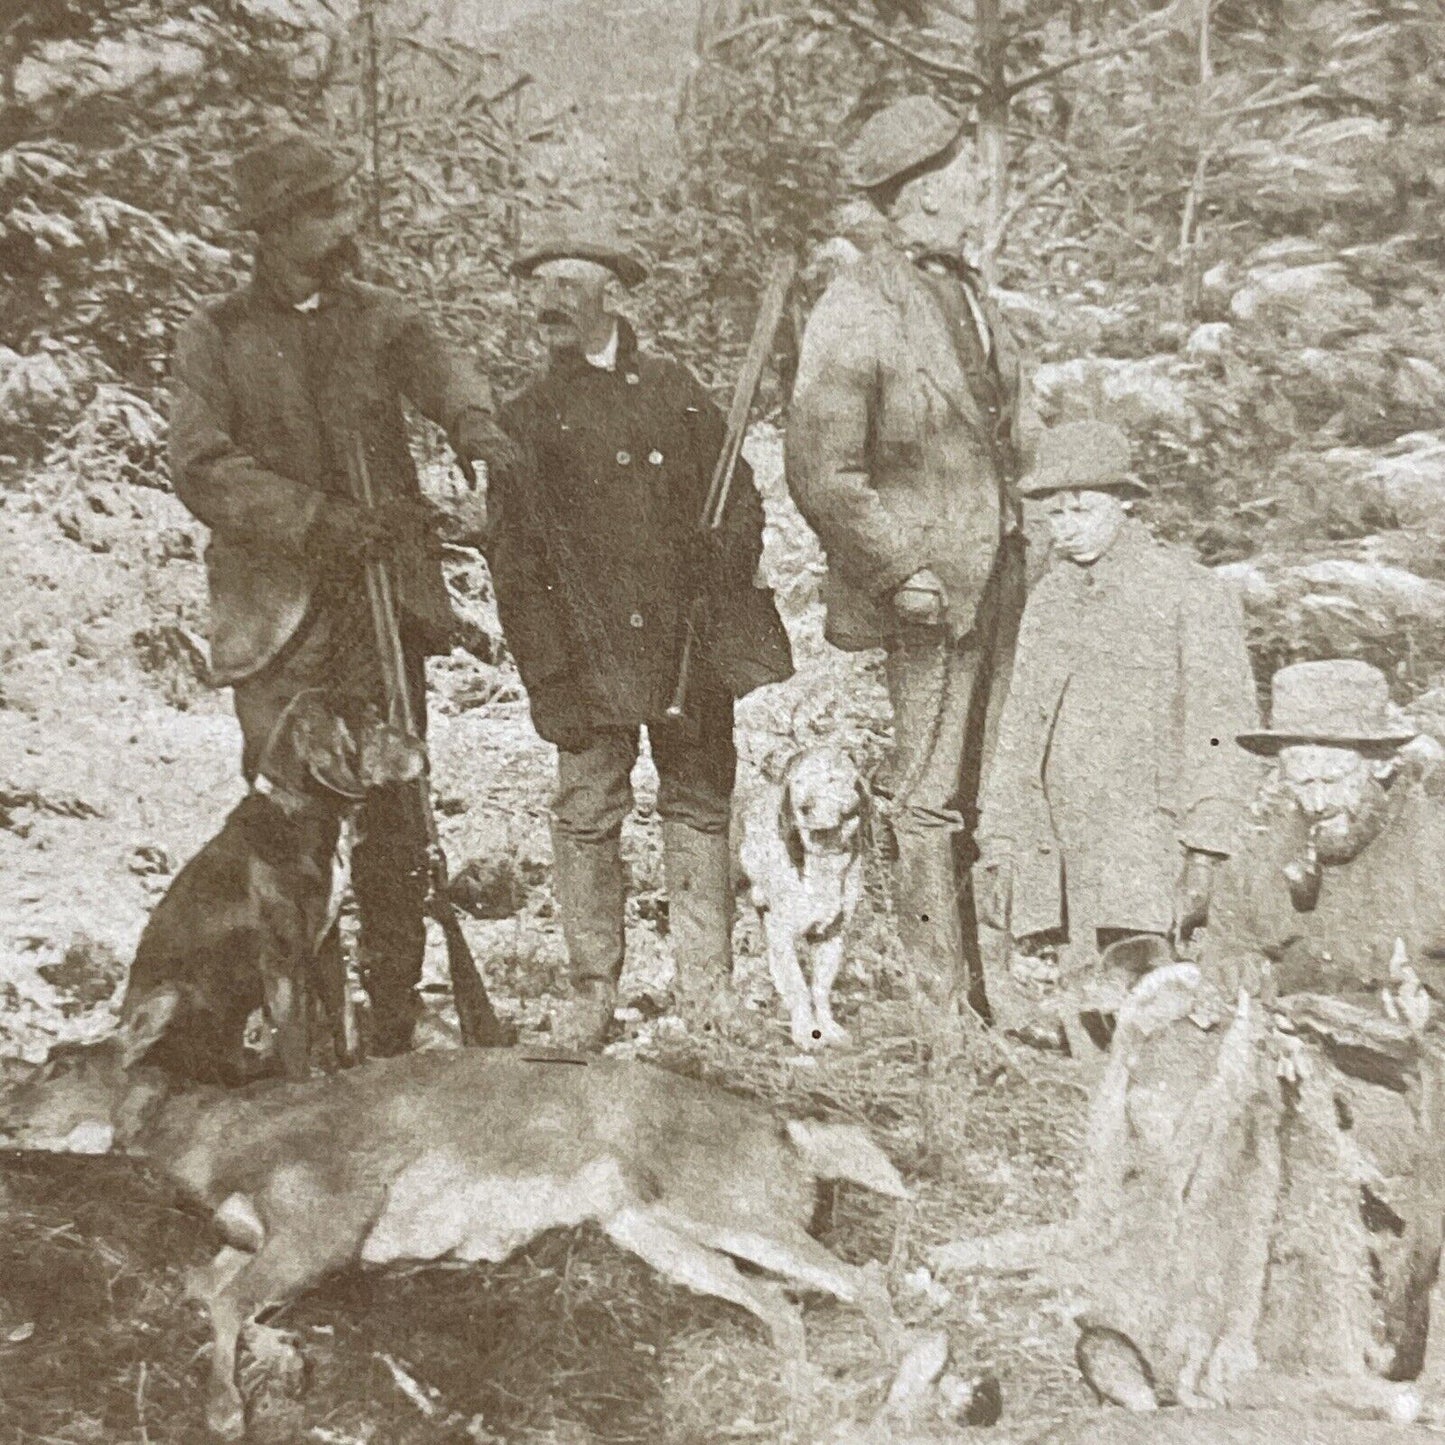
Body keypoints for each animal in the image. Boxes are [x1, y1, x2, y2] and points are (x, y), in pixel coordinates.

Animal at [0, 999, 901, 1439]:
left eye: (61, 1063)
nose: (7, 1111)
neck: (214, 1139)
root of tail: (782, 1128)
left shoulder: (324, 1216)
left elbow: (221, 1298)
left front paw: (226, 1410)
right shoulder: (256, 1237)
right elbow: (205, 1286)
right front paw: (278, 1359)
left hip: (718, 1200)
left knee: (861, 1278)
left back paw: (892, 1395)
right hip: (651, 1229)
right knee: (783, 1301)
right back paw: (800, 1404)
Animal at [121, 690, 424, 1086]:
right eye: (373, 721)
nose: (423, 747)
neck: (299, 813)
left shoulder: (327, 945)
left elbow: (344, 1016)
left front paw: (353, 1068)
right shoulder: (282, 961)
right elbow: (295, 1039)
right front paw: (305, 1086)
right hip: (171, 996)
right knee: (136, 1063)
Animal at [739, 745, 861, 1051]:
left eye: (831, 779)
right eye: (798, 783)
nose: (804, 807)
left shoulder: (830, 935)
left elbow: (820, 988)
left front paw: (827, 1028)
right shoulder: (780, 934)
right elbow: (798, 987)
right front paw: (806, 1031)